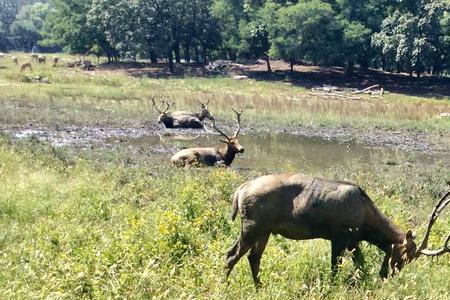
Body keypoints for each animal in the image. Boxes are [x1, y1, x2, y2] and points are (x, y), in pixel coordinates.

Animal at [227, 175, 448, 288]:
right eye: (404, 256)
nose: (390, 276)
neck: (367, 223)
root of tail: (240, 190)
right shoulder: (339, 237)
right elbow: (335, 267)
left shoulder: (353, 241)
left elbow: (361, 265)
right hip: (252, 226)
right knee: (231, 255)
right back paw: (227, 284)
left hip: (263, 231)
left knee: (253, 257)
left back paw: (259, 286)